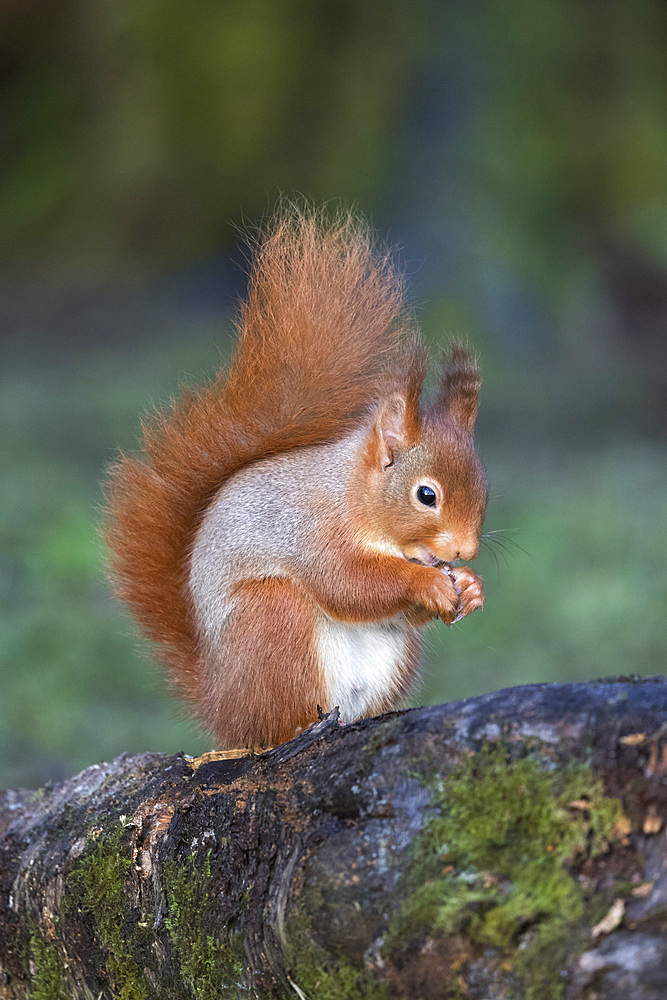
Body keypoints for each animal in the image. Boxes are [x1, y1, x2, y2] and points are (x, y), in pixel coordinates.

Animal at [105, 205, 490, 752]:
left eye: (485, 489)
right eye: (426, 494)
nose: (465, 550)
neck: (355, 496)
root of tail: (224, 706)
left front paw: (471, 587)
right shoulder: (313, 531)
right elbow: (349, 582)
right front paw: (428, 583)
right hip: (272, 621)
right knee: (277, 723)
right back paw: (301, 729)